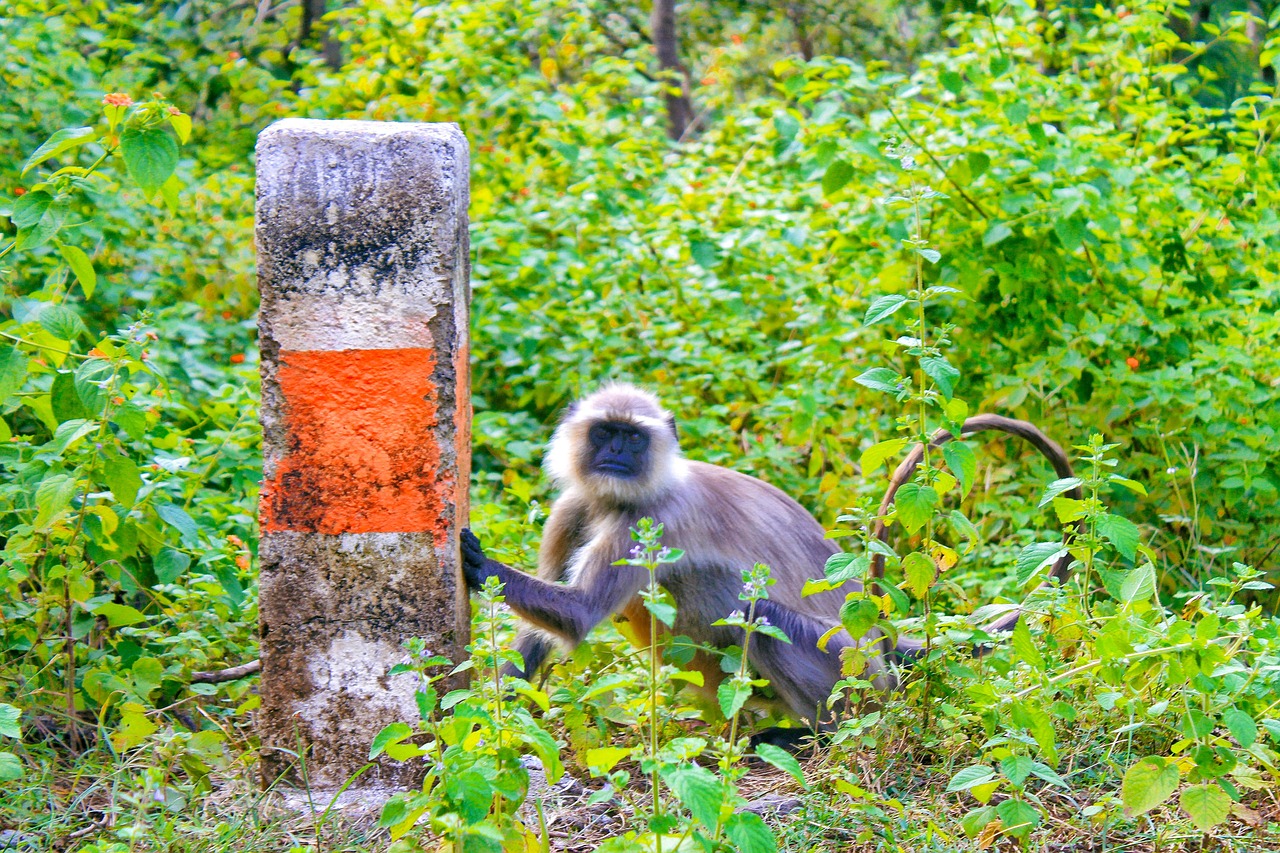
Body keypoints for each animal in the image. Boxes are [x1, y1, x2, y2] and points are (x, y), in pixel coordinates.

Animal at [460, 383, 1079, 732]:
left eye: (633, 438)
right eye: (605, 432)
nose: (615, 451)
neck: (616, 499)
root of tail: (881, 643)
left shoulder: (654, 519)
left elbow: (580, 613)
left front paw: (479, 563)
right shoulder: (572, 508)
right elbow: (540, 634)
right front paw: (487, 721)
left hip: (852, 673)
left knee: (763, 619)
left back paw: (810, 735)